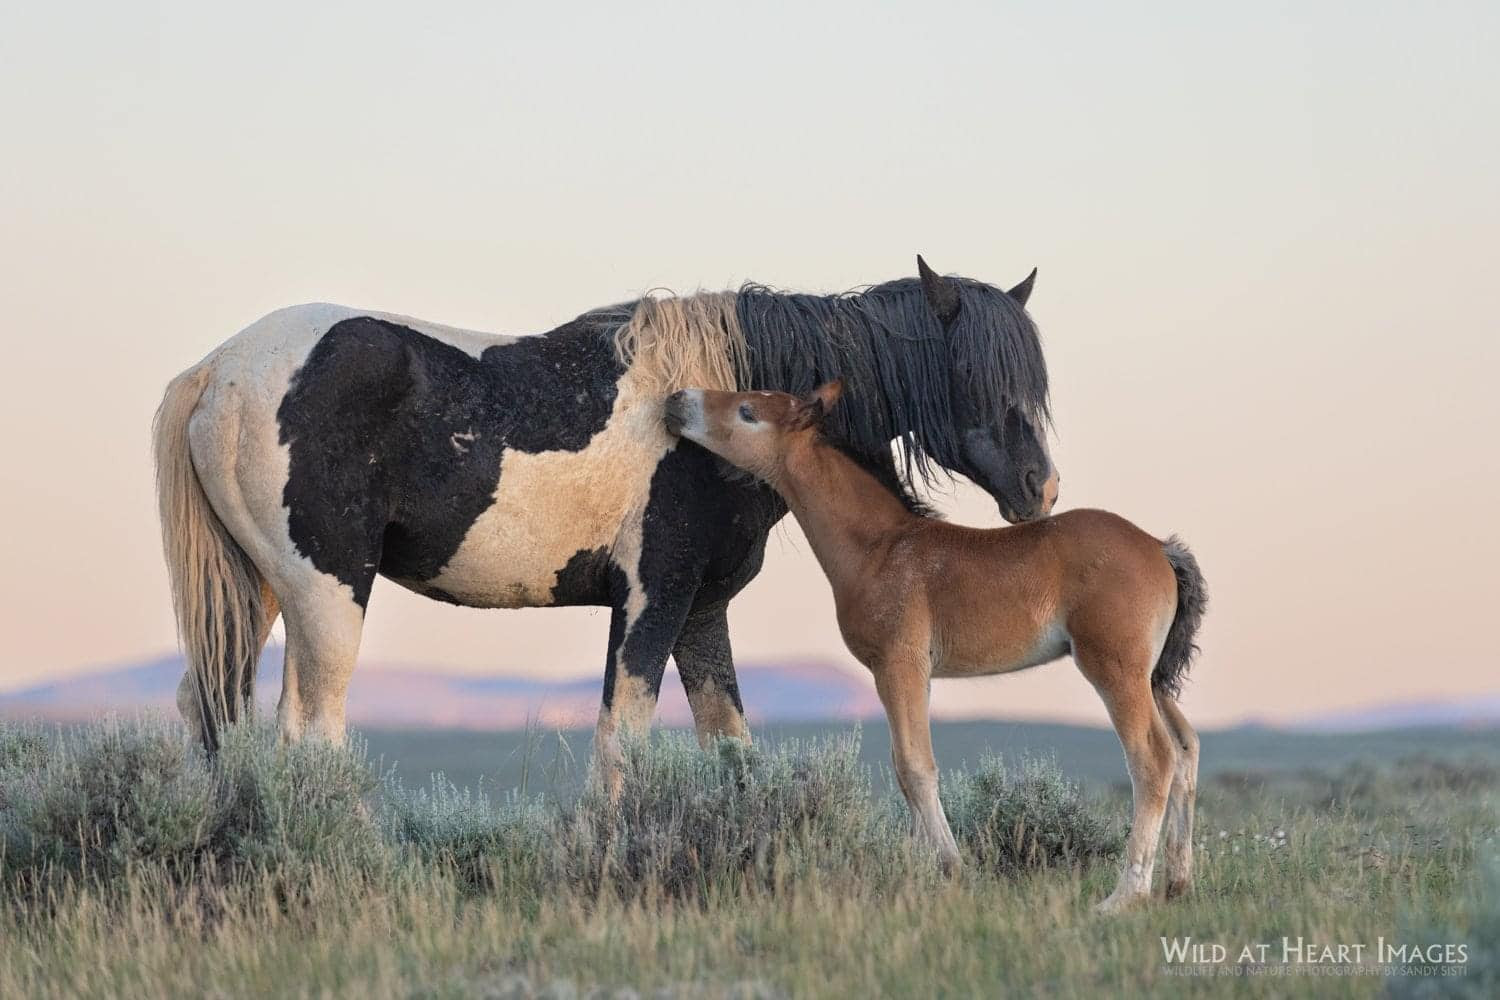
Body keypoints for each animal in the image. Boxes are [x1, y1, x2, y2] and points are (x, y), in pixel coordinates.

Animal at [152, 257, 1056, 767]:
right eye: (971, 372)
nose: (1041, 488)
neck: (713, 413)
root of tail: (215, 370)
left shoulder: (701, 611)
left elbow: (732, 750)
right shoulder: (652, 598)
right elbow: (622, 740)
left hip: (263, 596)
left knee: (217, 719)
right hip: (328, 596)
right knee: (313, 734)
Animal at [669, 380, 1206, 917]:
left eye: (747, 411)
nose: (677, 400)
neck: (879, 546)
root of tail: (1160, 548)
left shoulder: (896, 664)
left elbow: (914, 767)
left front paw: (953, 869)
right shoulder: (917, 676)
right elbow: (905, 766)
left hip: (1114, 667)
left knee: (1153, 758)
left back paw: (1125, 895)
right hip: (1151, 677)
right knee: (1185, 748)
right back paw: (1178, 883)